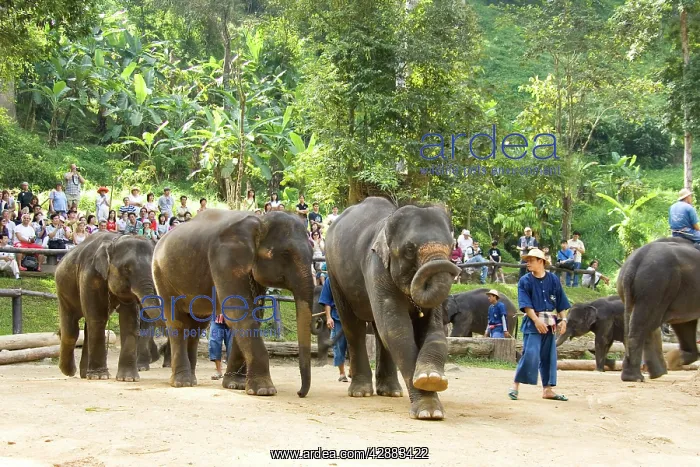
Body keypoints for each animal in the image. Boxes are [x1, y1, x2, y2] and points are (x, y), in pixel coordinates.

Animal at [57, 233, 159, 381]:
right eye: (126, 268)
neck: (114, 241)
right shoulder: (90, 276)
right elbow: (98, 318)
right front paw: (100, 377)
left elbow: (130, 321)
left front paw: (128, 378)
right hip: (63, 291)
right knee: (71, 330)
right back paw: (69, 371)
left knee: (86, 328)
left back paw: (84, 374)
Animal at [150, 209, 315, 396]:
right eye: (286, 254)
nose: (300, 393)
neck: (259, 220)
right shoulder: (225, 259)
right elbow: (238, 312)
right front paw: (264, 391)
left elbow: (252, 314)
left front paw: (236, 385)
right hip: (160, 274)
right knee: (177, 322)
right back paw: (182, 383)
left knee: (196, 325)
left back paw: (191, 380)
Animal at [325, 197, 461, 420]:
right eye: (409, 250)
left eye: (451, 246)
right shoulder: (376, 266)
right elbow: (397, 329)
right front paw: (428, 411)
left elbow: (433, 330)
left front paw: (431, 377)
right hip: (334, 273)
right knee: (353, 327)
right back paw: (361, 392)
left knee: (379, 332)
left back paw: (390, 392)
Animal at [617, 237, 700, 382]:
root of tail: (634, 261)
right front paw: (673, 359)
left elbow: (685, 324)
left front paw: (673, 359)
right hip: (657, 286)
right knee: (644, 325)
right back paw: (636, 377)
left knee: (647, 324)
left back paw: (657, 372)